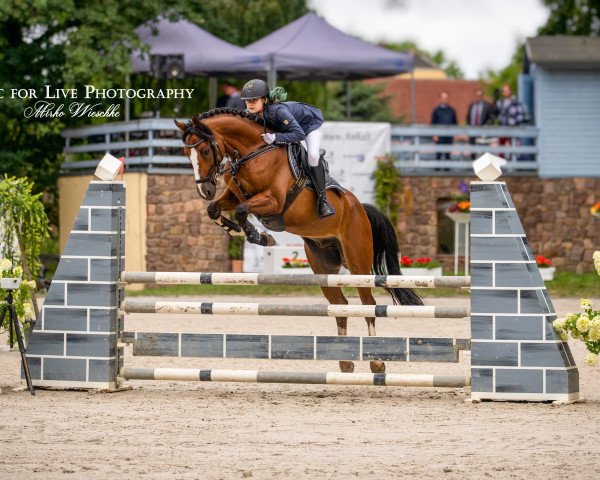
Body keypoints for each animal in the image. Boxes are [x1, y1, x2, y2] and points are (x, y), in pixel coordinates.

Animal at [176, 109, 424, 376]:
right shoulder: (233, 195)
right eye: (186, 154)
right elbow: (214, 209)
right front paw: (239, 231)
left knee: (368, 304)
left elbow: (242, 211)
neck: (252, 152)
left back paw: (376, 362)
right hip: (323, 265)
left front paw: (258, 236)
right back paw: (345, 361)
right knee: (340, 305)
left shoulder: (273, 201)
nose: (205, 190)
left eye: (204, 151)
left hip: (358, 262)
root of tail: (360, 208)